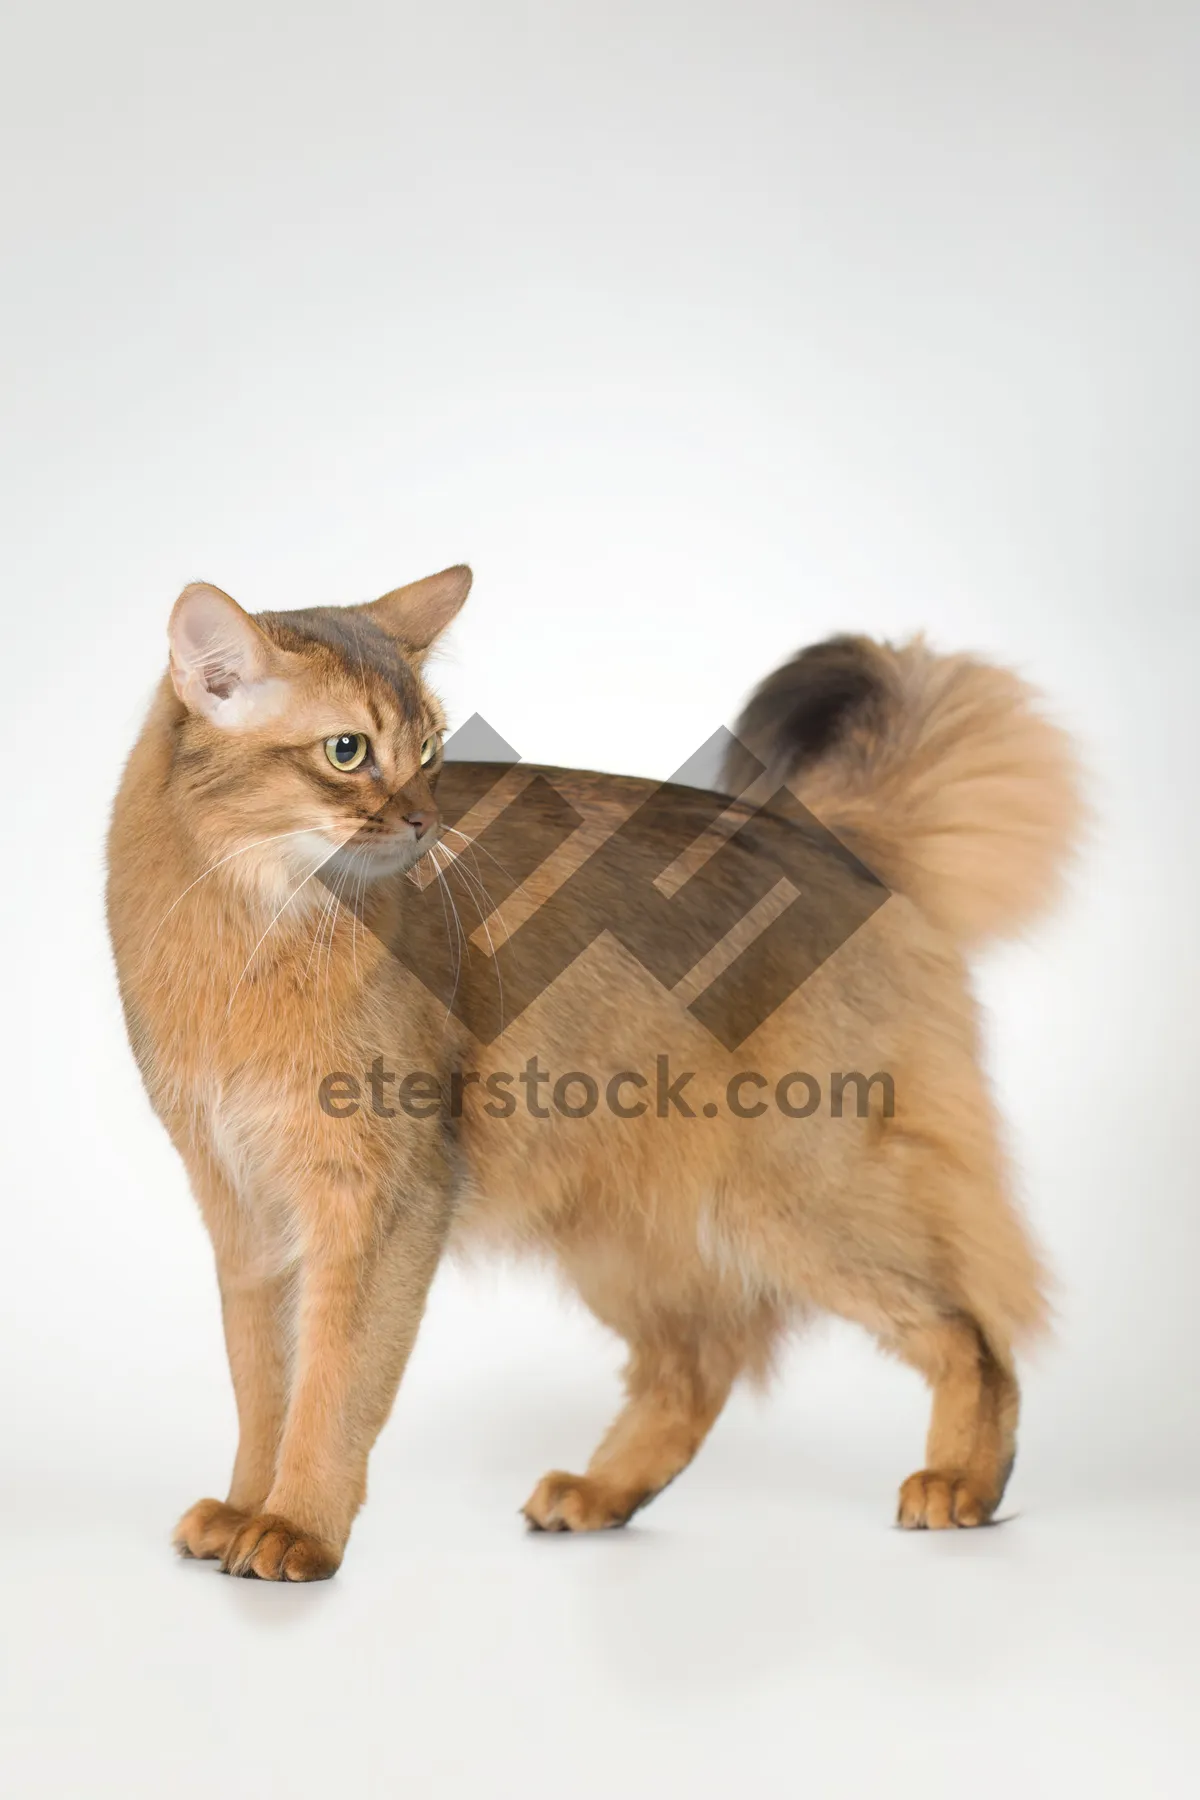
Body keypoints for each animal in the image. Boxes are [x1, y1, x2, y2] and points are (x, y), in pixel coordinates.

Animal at [105, 568, 1079, 1584]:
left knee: (973, 1327)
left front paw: (298, 1528)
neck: (248, 930)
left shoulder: (382, 1197)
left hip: (794, 1195)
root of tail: (823, 838)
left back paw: (965, 1480)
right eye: (347, 751)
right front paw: (243, 1508)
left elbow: (334, 1385)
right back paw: (603, 1495)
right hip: (624, 1227)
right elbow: (264, 1385)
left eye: (431, 749)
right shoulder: (243, 1211)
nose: (423, 822)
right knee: (698, 1363)